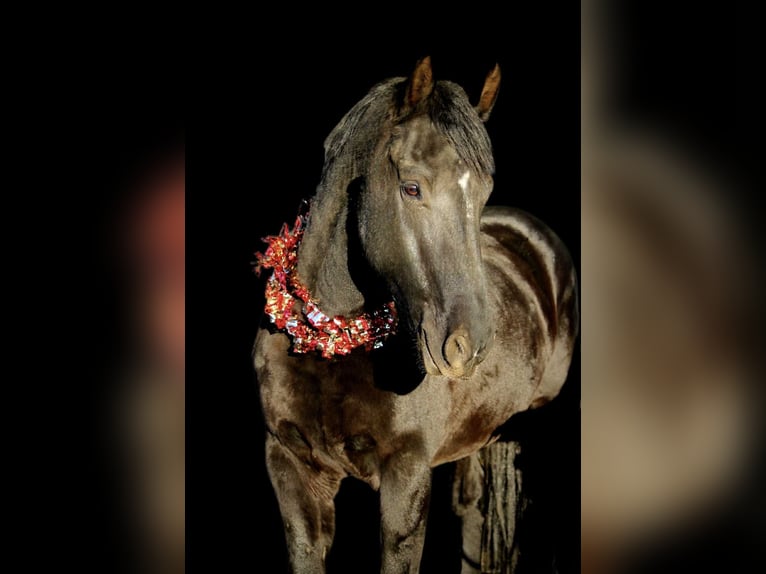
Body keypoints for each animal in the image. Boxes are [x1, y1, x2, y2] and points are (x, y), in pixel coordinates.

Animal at [254, 57, 578, 574]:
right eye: (411, 188)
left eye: (483, 193)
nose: (467, 346)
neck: (329, 342)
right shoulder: (290, 467)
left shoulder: (406, 476)